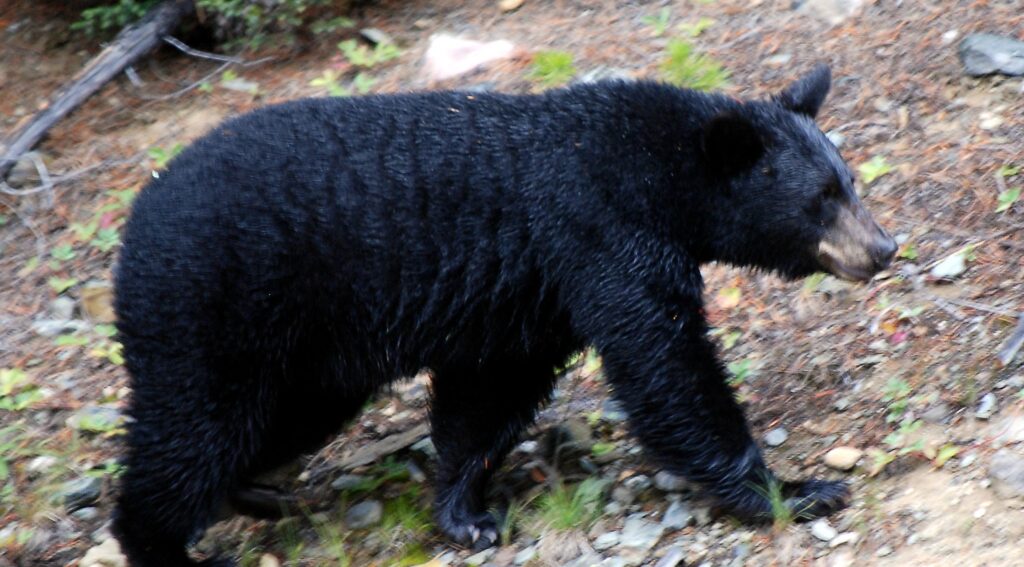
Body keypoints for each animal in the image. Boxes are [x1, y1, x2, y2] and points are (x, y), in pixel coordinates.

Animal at [112, 64, 896, 566]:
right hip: (212, 310)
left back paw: (255, 492)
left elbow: (489, 396)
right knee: (191, 431)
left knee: (275, 421)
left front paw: (465, 513)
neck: (660, 173)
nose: (884, 247)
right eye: (821, 198)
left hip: (307, 354)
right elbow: (667, 368)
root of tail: (135, 222)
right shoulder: (601, 233)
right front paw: (796, 489)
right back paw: (167, 546)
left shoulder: (532, 293)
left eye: (849, 180)